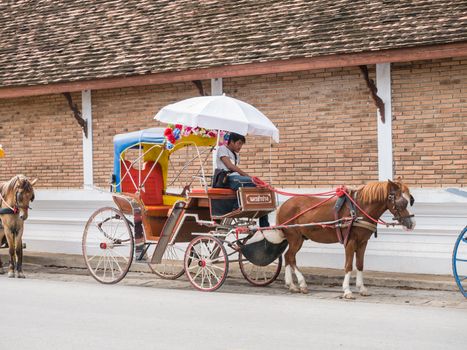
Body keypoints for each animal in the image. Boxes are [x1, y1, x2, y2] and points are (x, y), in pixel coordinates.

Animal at [276, 180, 414, 298]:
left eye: (410, 200)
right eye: (402, 202)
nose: (411, 224)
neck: (359, 210)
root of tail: (282, 206)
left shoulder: (363, 242)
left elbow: (360, 264)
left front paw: (362, 288)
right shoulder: (350, 241)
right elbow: (348, 265)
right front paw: (347, 290)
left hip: (298, 239)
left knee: (288, 257)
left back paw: (291, 285)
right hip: (295, 238)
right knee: (291, 257)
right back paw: (301, 283)